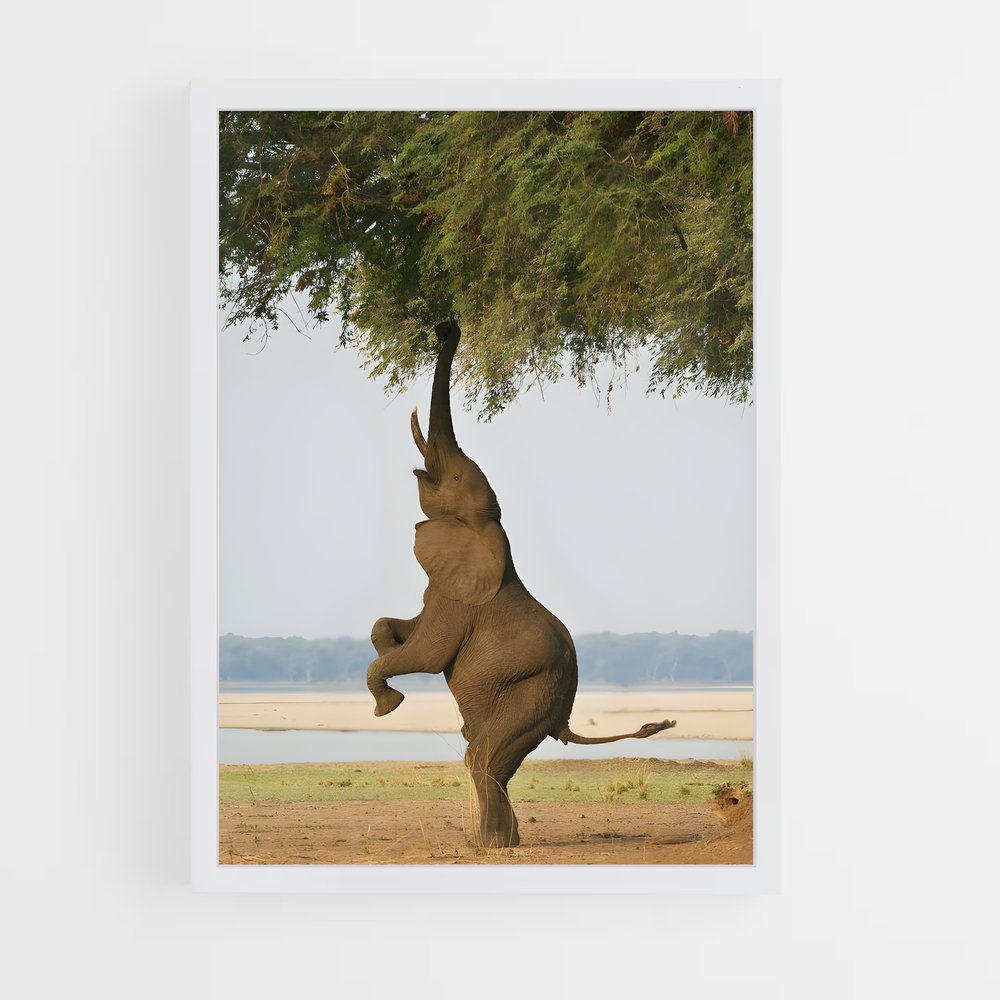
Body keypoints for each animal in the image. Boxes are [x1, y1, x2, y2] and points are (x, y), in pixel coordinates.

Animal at [367, 320, 675, 848]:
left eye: (453, 477)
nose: (447, 326)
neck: (490, 528)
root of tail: (565, 714)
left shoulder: (461, 601)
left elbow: (427, 655)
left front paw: (389, 706)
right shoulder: (446, 586)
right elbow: (397, 627)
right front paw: (387, 657)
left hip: (530, 695)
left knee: (484, 757)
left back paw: (490, 846)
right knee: (489, 757)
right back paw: (500, 842)